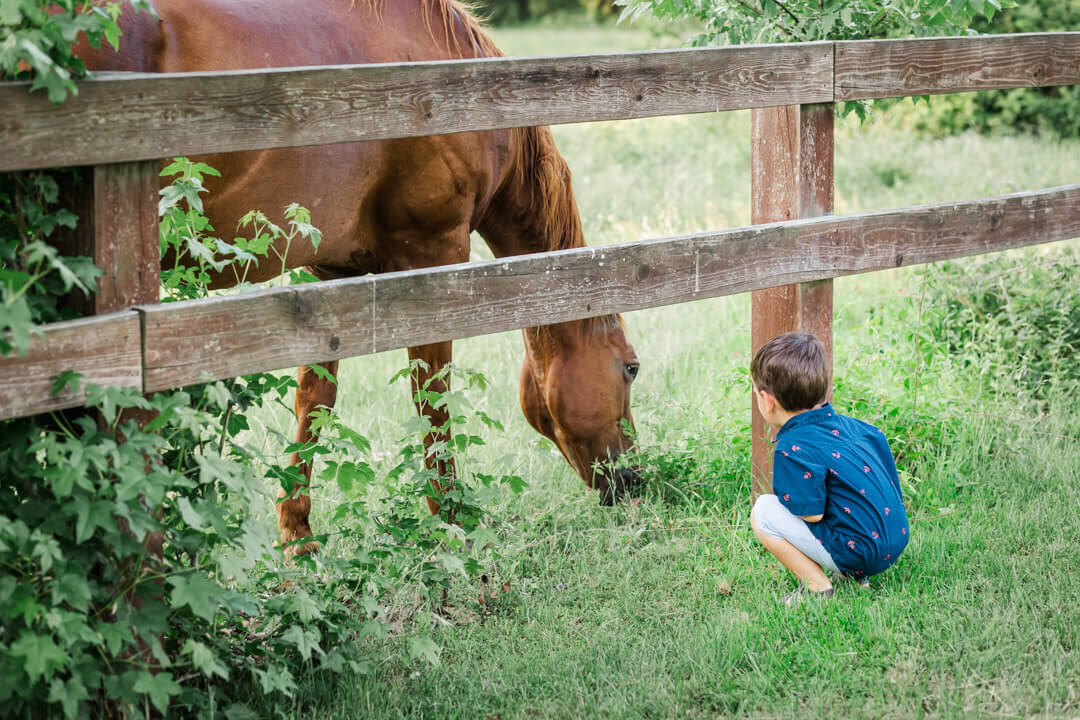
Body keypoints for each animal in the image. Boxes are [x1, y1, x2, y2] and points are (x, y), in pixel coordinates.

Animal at [79, 0, 643, 557]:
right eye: (631, 368)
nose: (636, 481)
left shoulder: (328, 273)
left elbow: (315, 400)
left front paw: (298, 535)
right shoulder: (432, 254)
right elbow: (432, 398)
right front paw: (450, 520)